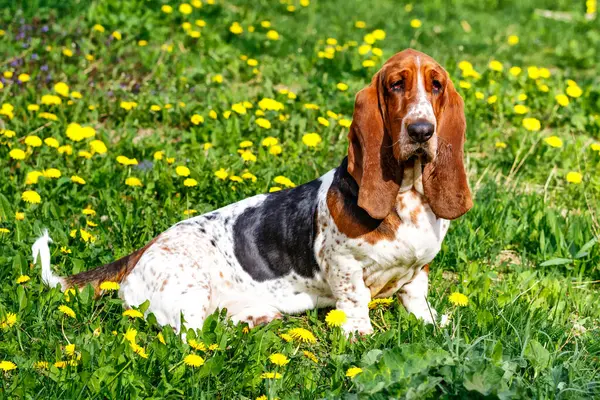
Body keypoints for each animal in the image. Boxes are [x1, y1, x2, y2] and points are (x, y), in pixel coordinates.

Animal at [34, 50, 474, 338]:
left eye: (436, 86)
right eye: (397, 84)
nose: (421, 131)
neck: (408, 194)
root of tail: (141, 252)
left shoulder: (420, 269)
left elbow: (416, 296)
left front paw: (433, 324)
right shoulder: (342, 264)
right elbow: (354, 301)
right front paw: (359, 335)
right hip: (190, 294)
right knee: (189, 337)